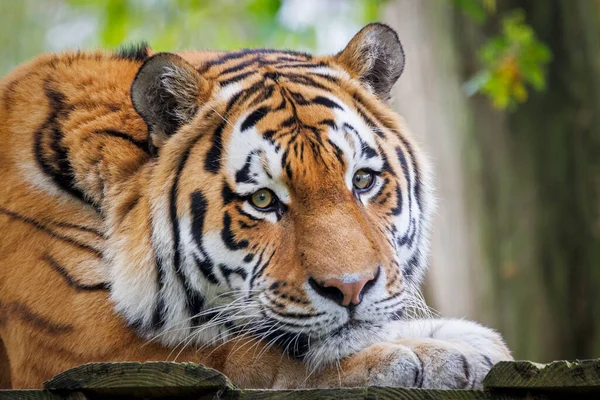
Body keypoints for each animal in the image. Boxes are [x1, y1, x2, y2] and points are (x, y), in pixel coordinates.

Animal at [0, 23, 510, 390]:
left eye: (362, 180)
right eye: (263, 200)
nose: (351, 288)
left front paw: (468, 341)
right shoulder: (84, 339)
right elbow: (255, 356)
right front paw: (429, 355)